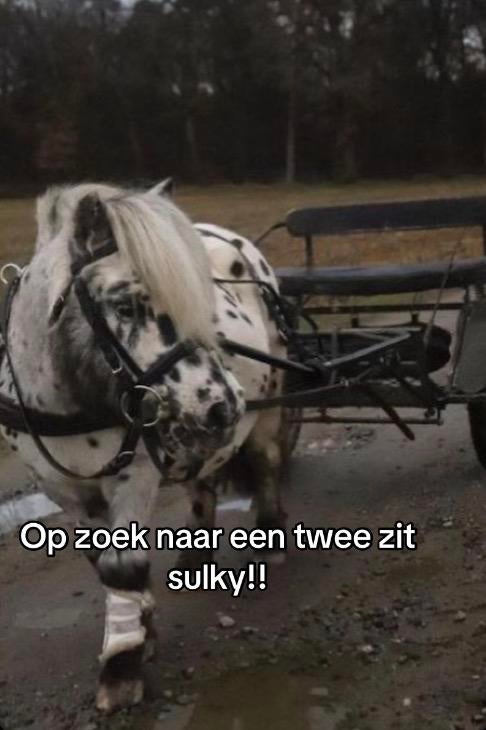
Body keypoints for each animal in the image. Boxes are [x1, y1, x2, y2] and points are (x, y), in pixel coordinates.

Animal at [0, 180, 286, 711]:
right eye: (127, 307)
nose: (224, 406)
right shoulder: (61, 490)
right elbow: (101, 563)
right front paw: (141, 626)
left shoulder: (133, 476)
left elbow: (124, 565)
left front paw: (121, 666)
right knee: (201, 481)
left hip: (267, 403)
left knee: (265, 462)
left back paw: (269, 537)